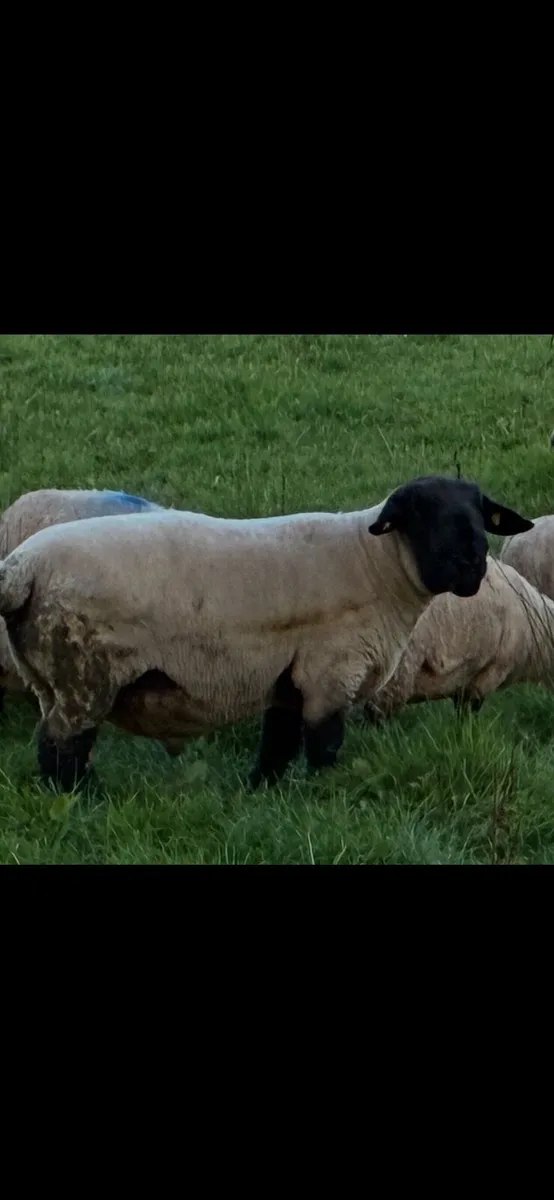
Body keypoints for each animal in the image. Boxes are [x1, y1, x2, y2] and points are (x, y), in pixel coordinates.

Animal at [0, 474, 533, 793]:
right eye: (422, 515)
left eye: (480, 515)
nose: (473, 564)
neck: (376, 565)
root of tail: (23, 567)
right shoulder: (330, 674)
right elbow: (323, 746)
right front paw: (322, 798)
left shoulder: (290, 679)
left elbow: (277, 744)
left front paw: (262, 792)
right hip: (84, 675)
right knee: (63, 747)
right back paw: (86, 800)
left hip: (50, 678)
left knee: (53, 742)